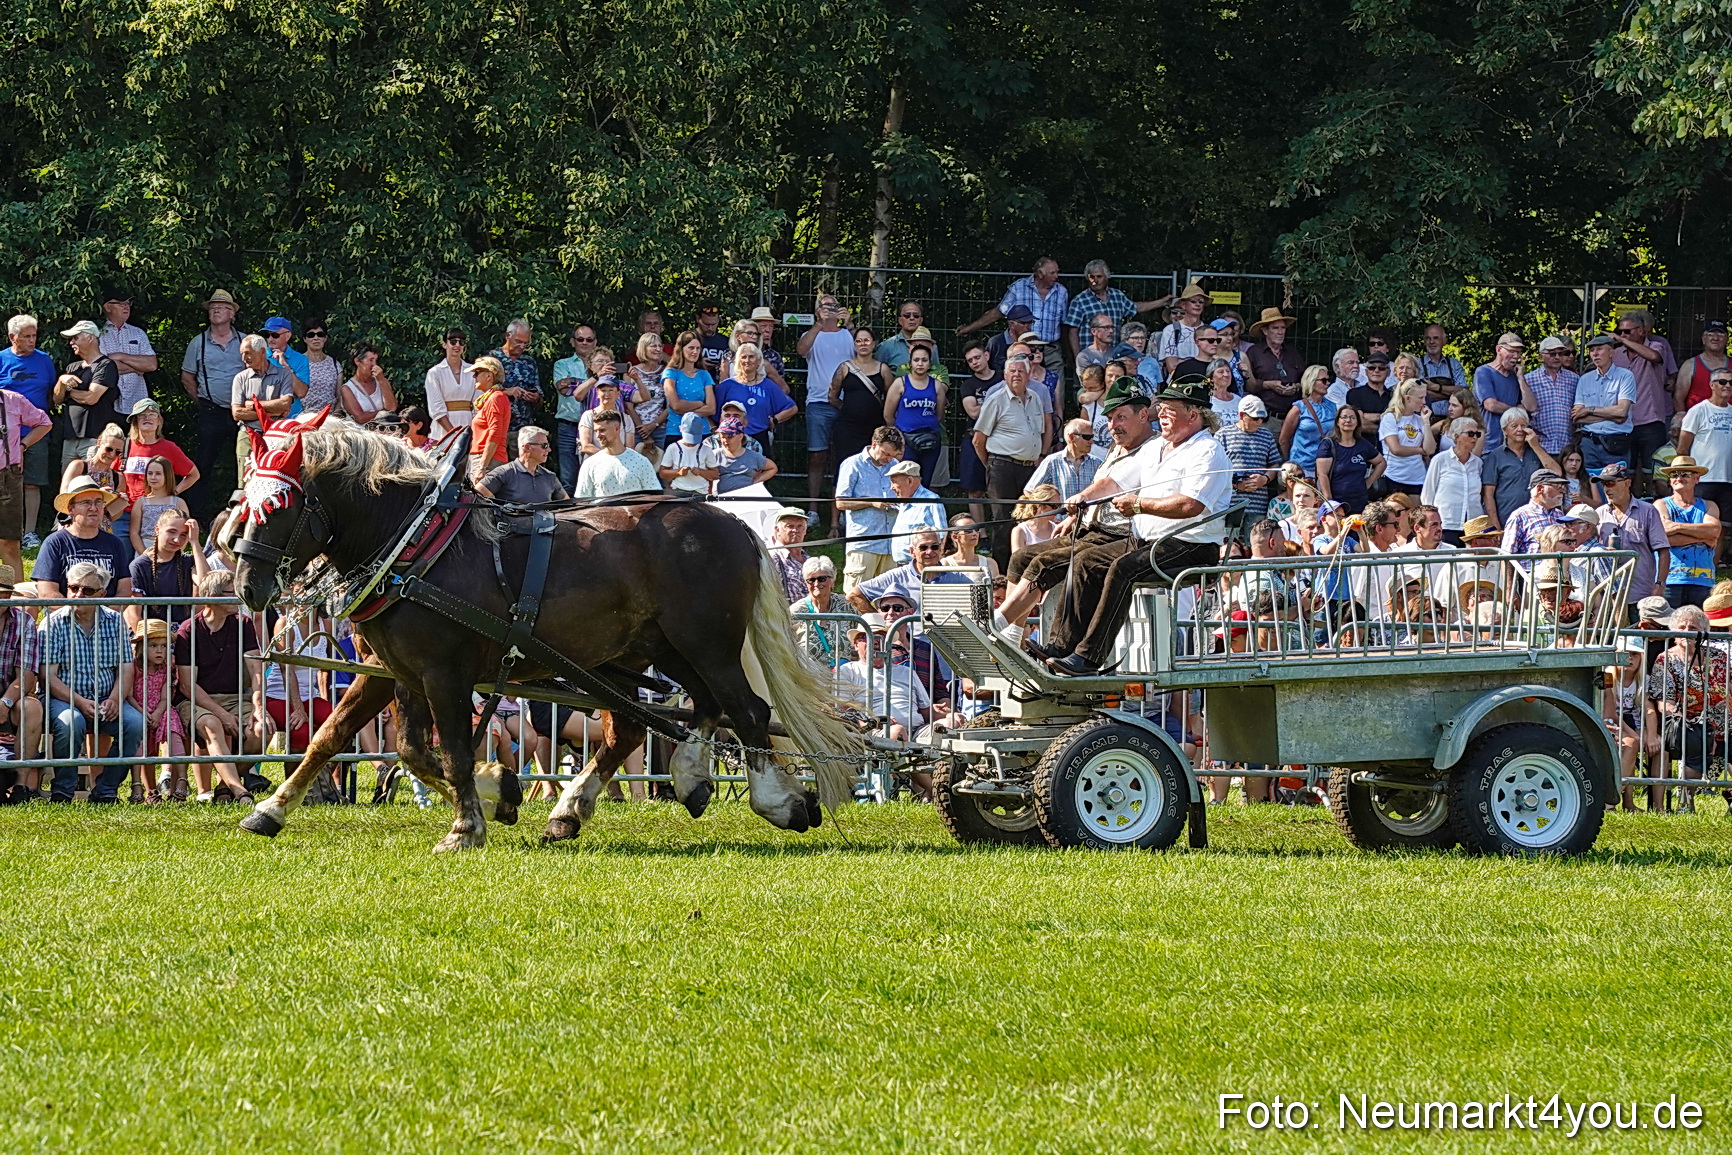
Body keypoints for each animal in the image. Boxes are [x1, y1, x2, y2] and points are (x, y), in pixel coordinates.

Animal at [227, 413, 860, 852]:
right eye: (242, 500)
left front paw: (468, 824)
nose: (246, 585)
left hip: (705, 643)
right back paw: (620, 796)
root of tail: (732, 521)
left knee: (745, 710)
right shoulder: (395, 670)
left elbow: (451, 751)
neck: (415, 540)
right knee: (666, 716)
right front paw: (270, 811)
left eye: (279, 505)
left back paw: (777, 801)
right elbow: (351, 739)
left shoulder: (443, 672)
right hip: (651, 648)